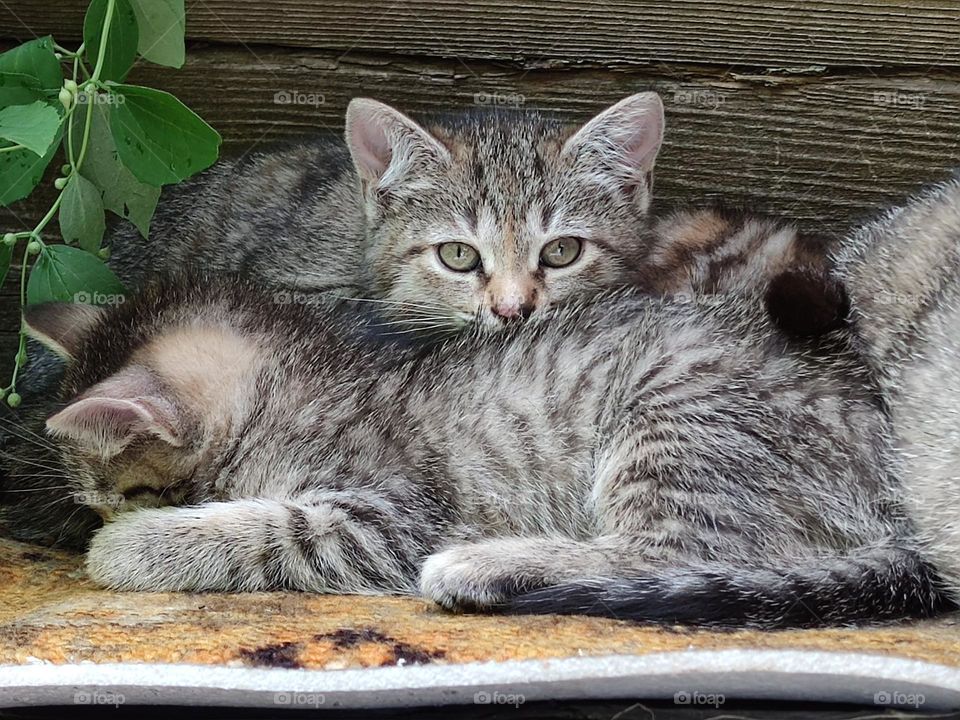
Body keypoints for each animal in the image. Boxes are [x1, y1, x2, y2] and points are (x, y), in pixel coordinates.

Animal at [24, 272, 944, 628]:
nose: (97, 516)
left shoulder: (383, 515)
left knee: (675, 553)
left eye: (114, 493)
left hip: (678, 415)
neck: (299, 386)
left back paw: (486, 565)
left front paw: (129, 548)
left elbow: (262, 530)